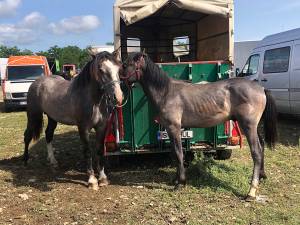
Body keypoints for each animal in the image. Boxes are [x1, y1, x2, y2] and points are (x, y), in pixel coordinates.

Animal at [22, 51, 122, 191]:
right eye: (101, 70)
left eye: (118, 68)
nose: (118, 97)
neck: (93, 100)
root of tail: (37, 82)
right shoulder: (83, 128)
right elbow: (87, 152)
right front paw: (92, 180)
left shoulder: (101, 127)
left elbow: (99, 150)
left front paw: (102, 178)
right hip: (33, 115)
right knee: (27, 135)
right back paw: (25, 160)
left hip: (52, 118)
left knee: (48, 135)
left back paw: (53, 161)